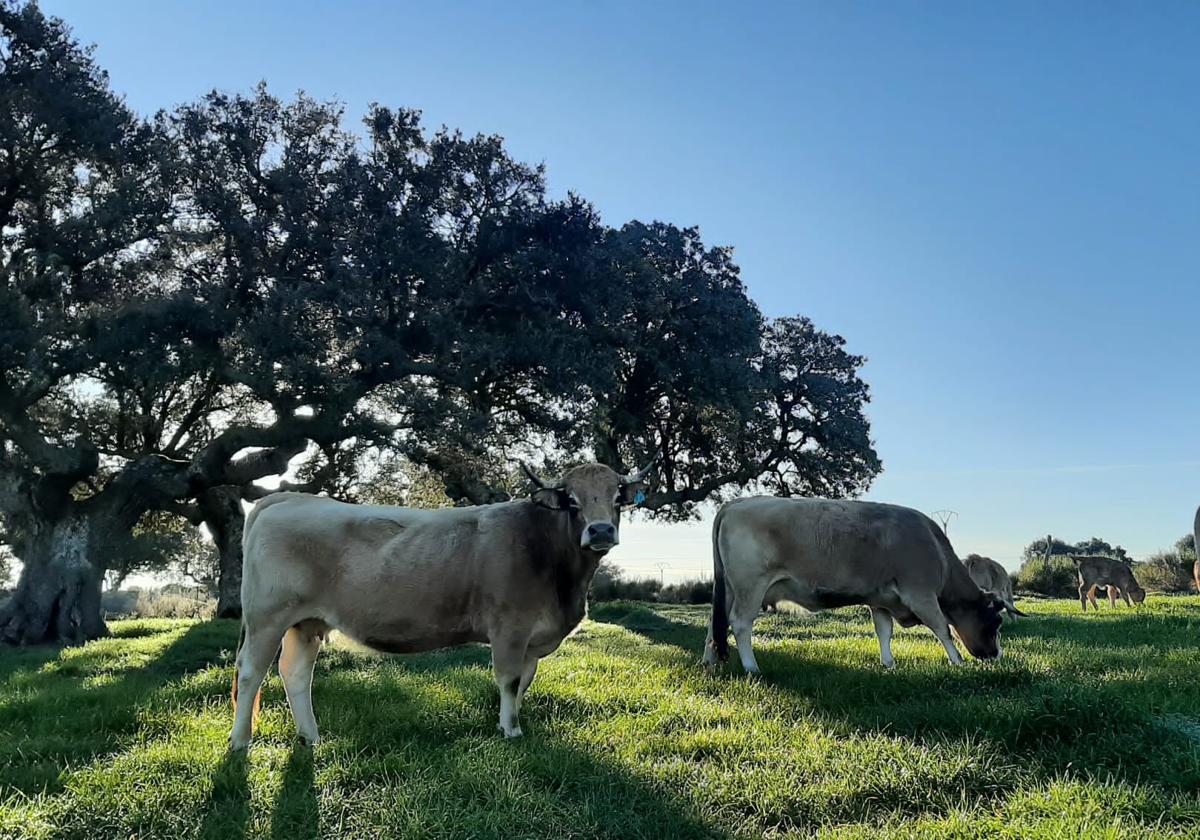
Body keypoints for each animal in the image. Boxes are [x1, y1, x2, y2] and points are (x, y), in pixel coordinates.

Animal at [228, 458, 652, 748]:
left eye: (618, 498)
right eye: (571, 500)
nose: (600, 530)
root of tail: (285, 497)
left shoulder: (531, 641)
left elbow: (524, 683)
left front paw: (509, 723)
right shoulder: (510, 628)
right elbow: (509, 680)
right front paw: (512, 731)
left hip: (306, 623)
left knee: (295, 674)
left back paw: (311, 737)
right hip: (268, 617)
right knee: (251, 673)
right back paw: (240, 742)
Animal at [700, 499, 1003, 667]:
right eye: (995, 623)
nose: (995, 655)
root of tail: (737, 502)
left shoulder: (881, 600)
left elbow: (884, 631)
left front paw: (888, 663)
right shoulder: (921, 595)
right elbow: (942, 628)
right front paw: (958, 661)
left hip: (729, 589)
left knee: (716, 624)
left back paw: (709, 662)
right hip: (750, 587)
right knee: (740, 623)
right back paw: (752, 668)